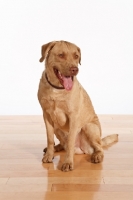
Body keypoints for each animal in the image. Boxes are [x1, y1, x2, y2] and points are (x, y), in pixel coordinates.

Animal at [37, 40, 118, 172]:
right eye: (61, 55)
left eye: (76, 56)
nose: (75, 69)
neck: (57, 89)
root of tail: (80, 150)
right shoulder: (47, 115)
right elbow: (49, 138)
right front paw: (49, 155)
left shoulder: (73, 117)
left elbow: (70, 141)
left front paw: (68, 163)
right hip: (57, 127)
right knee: (62, 144)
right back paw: (56, 148)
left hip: (89, 127)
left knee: (99, 147)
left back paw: (97, 156)